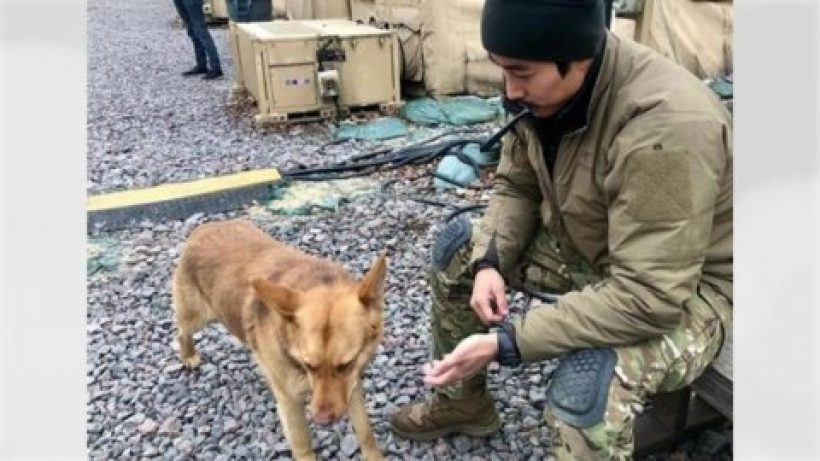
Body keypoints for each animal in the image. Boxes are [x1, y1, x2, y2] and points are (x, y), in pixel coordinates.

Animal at [171, 219, 388, 460]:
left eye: (346, 365)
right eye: (309, 365)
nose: (321, 420)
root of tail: (205, 227)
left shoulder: (351, 385)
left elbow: (365, 432)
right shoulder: (290, 401)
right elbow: (302, 442)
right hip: (196, 315)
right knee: (182, 331)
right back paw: (189, 355)